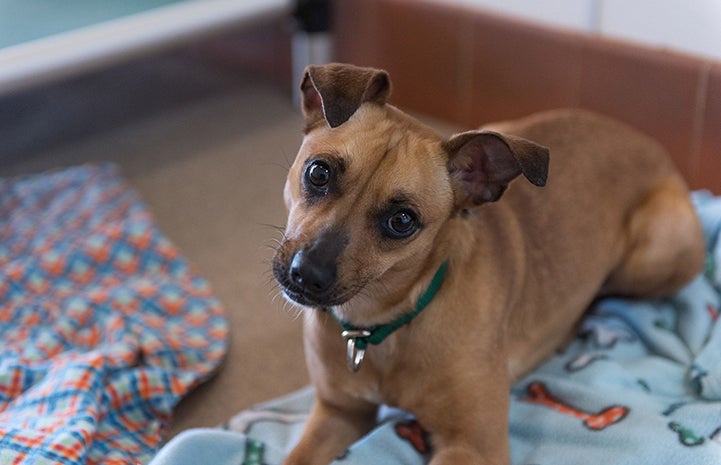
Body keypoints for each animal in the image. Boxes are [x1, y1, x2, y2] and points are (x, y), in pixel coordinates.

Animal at [270, 64, 704, 464]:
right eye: (319, 172)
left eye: (402, 221)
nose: (306, 275)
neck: (382, 327)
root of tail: (650, 144)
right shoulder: (338, 412)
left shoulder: (473, 447)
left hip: (659, 249)